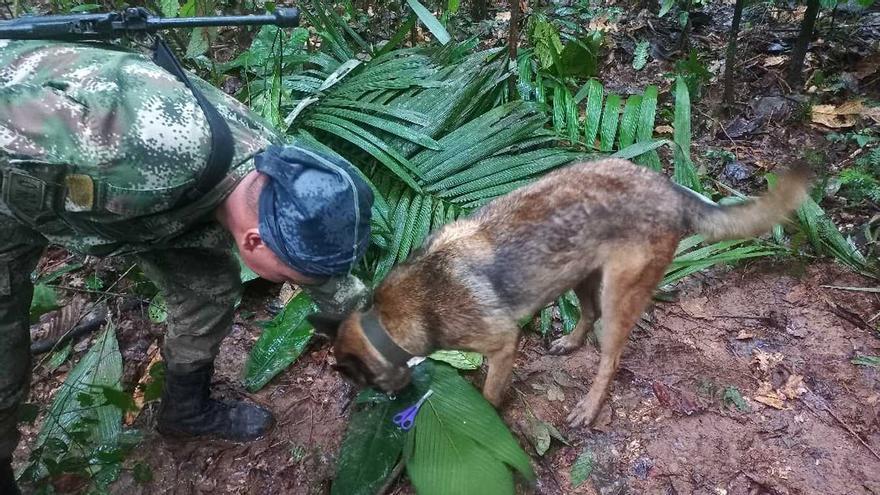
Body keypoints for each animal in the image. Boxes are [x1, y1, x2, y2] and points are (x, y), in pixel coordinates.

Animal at [312, 160, 812, 430]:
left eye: (364, 383)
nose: (390, 404)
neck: (389, 319)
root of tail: (669, 187)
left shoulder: (502, 345)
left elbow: (489, 393)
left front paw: (484, 417)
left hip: (617, 295)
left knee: (610, 358)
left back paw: (589, 407)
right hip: (580, 274)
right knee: (585, 315)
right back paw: (569, 343)